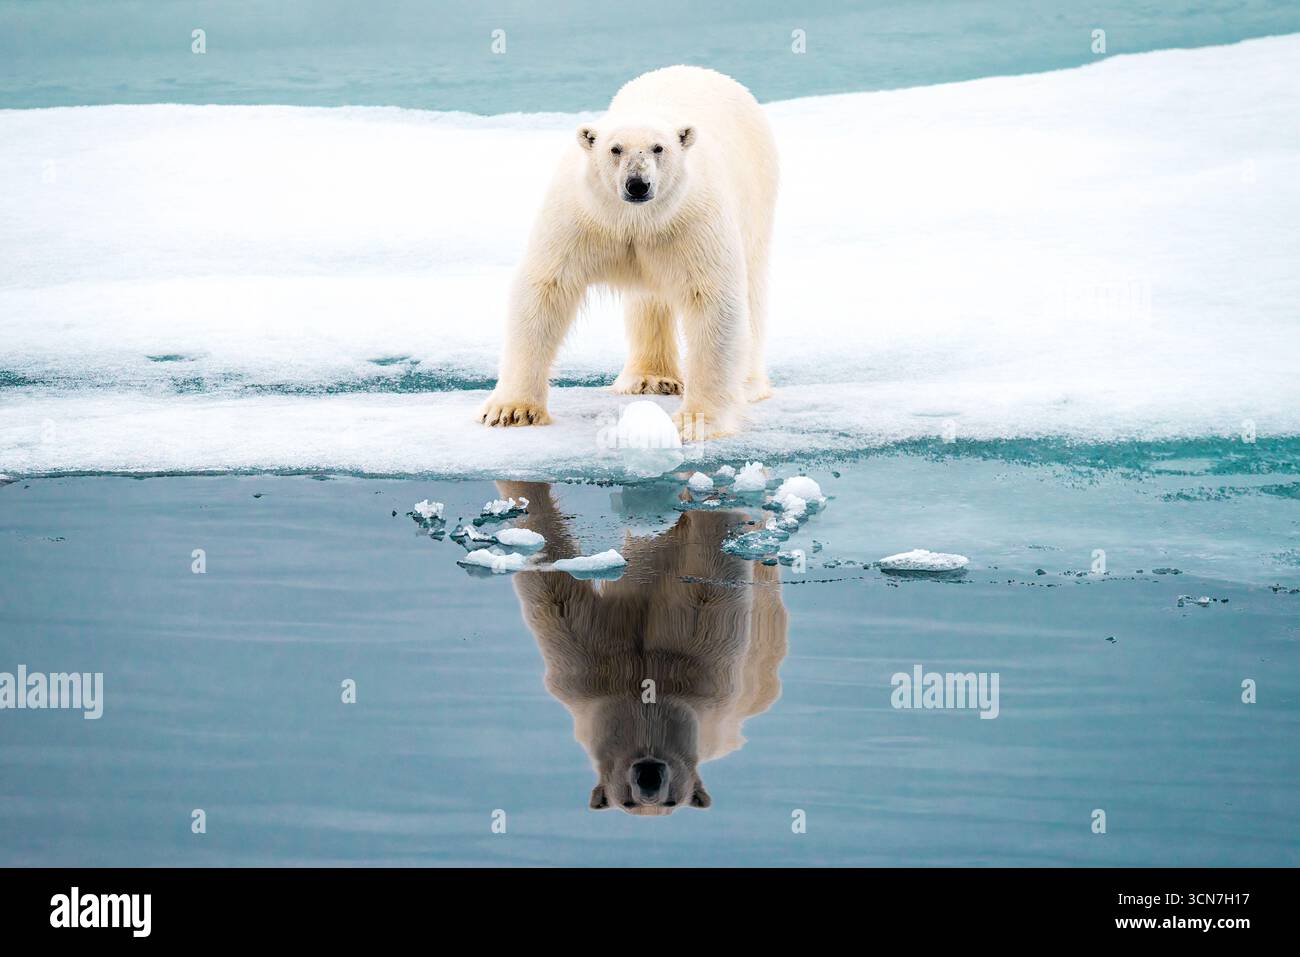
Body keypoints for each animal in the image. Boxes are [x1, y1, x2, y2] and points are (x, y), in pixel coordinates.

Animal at [479, 66, 779, 442]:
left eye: (659, 148)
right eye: (615, 149)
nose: (637, 184)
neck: (633, 220)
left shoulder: (692, 220)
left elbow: (712, 299)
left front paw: (696, 420)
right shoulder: (582, 218)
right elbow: (546, 288)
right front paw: (511, 410)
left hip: (756, 191)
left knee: (752, 284)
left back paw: (749, 385)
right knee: (647, 300)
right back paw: (650, 378)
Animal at [495, 480, 789, 815]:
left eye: (673, 799)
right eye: (627, 801)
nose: (649, 780)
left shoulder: (709, 668)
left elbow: (710, 578)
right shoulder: (587, 669)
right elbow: (556, 592)